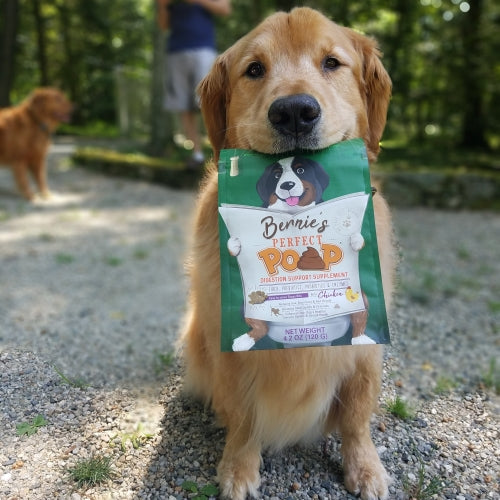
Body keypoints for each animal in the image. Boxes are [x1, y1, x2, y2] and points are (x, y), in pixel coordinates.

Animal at [180, 7, 394, 500]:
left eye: (332, 62)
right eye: (254, 69)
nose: (295, 111)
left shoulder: (367, 351)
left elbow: (357, 414)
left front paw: (365, 467)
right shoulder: (226, 336)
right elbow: (242, 415)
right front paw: (238, 468)